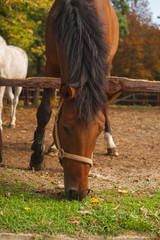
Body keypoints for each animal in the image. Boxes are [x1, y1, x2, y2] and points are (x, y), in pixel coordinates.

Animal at [30, 0, 119, 200]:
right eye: (65, 128)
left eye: (98, 130)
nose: (78, 192)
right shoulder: (51, 63)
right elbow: (45, 111)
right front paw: (37, 157)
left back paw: (111, 145)